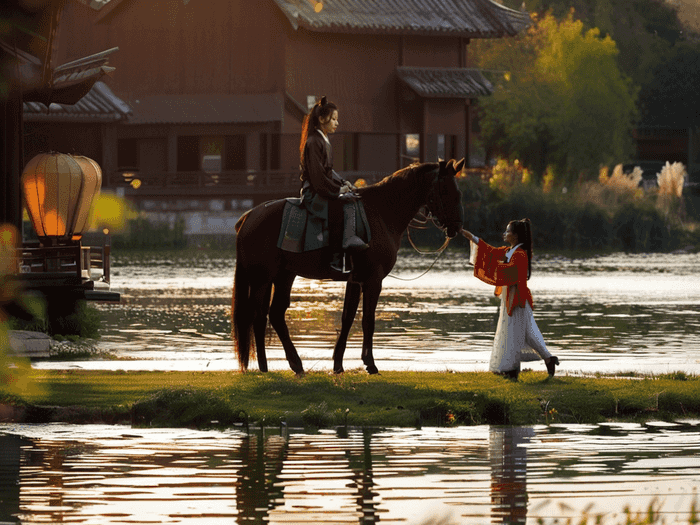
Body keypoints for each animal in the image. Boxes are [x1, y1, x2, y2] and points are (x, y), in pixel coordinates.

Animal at [232, 158, 468, 374]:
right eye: (446, 190)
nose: (457, 227)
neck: (382, 212)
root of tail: (249, 216)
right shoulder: (373, 280)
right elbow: (368, 321)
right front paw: (370, 363)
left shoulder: (355, 280)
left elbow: (347, 318)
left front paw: (338, 364)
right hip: (262, 278)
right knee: (258, 316)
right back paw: (266, 365)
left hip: (284, 276)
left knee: (274, 314)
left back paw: (291, 364)